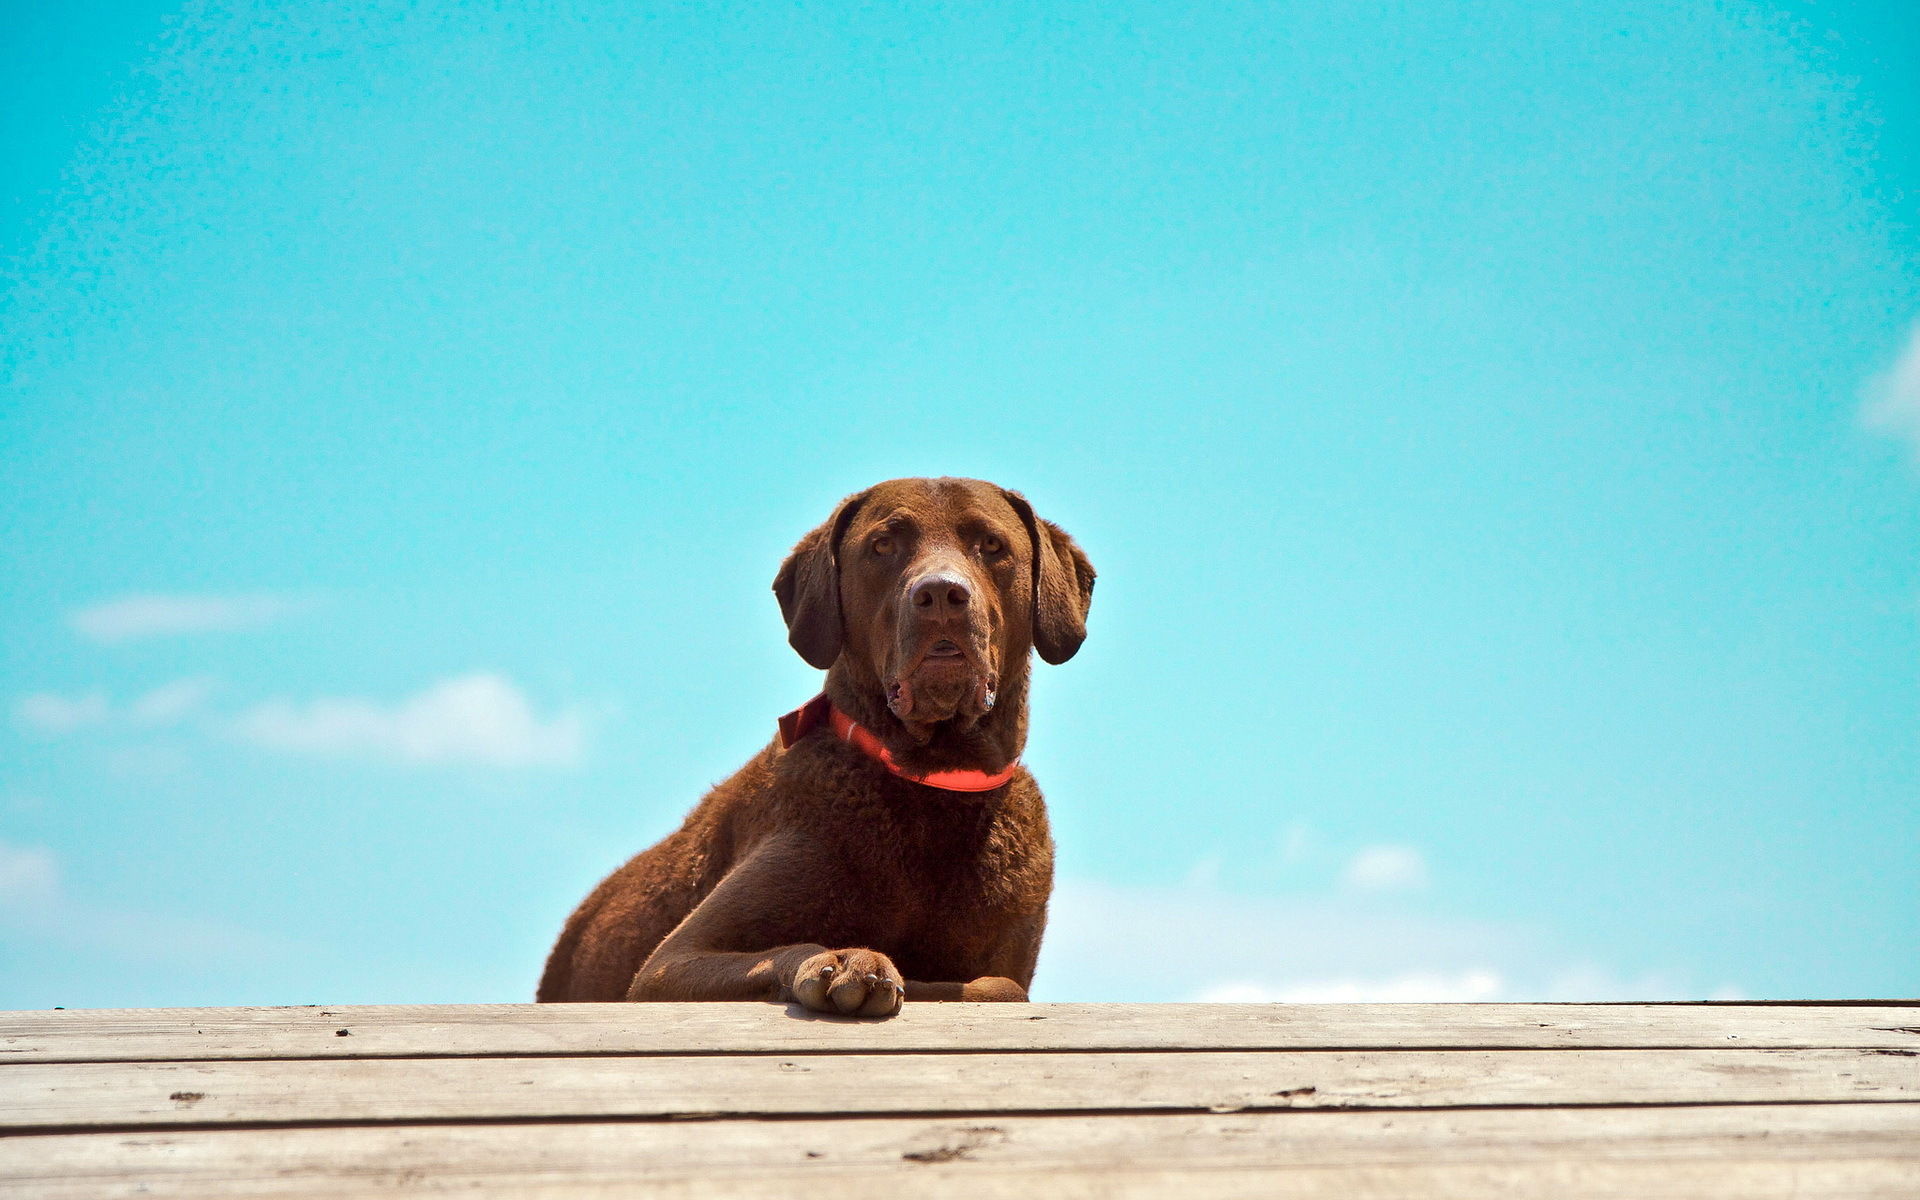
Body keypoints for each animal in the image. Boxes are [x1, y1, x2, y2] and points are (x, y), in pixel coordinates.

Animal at [537, 478, 1098, 1013]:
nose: (940, 594)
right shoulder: (666, 966)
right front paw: (850, 961)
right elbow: (794, 948)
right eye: (883, 545)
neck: (930, 781)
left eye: (991, 544)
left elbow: (999, 985)